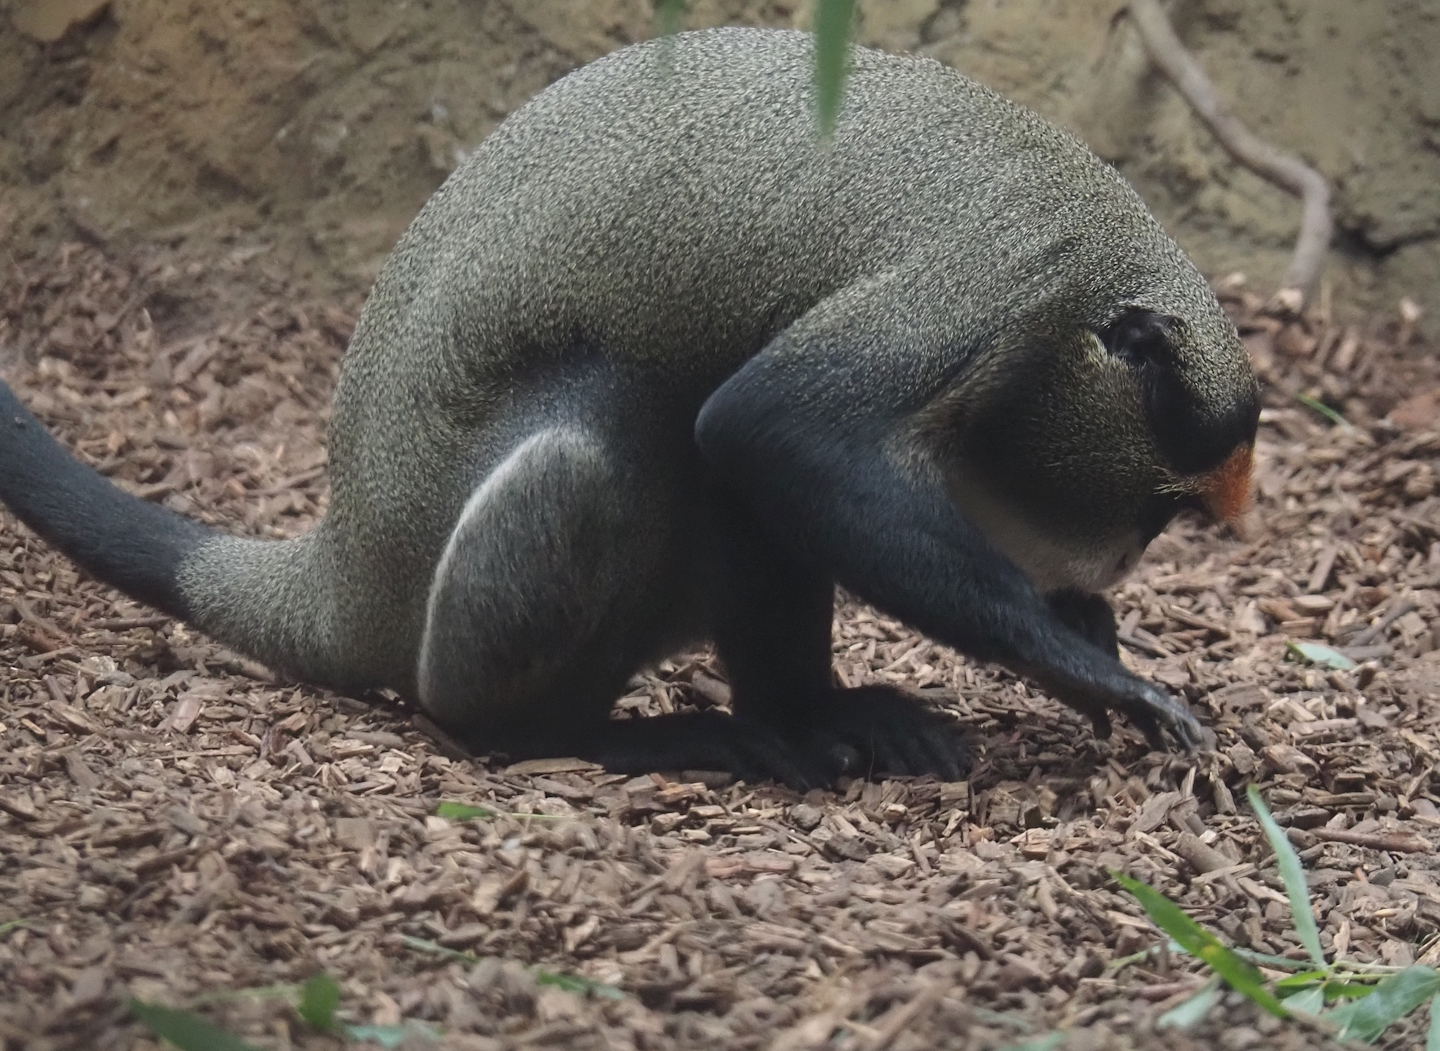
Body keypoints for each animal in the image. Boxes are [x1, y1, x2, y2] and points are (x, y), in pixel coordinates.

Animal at [0, 27, 1258, 788]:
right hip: (488, 585)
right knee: (623, 428)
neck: (1096, 268)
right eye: (1160, 507)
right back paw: (588, 732)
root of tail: (353, 566)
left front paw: (1090, 635)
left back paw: (820, 715)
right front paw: (1098, 667)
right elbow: (774, 429)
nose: (1114, 567)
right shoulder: (997, 281)